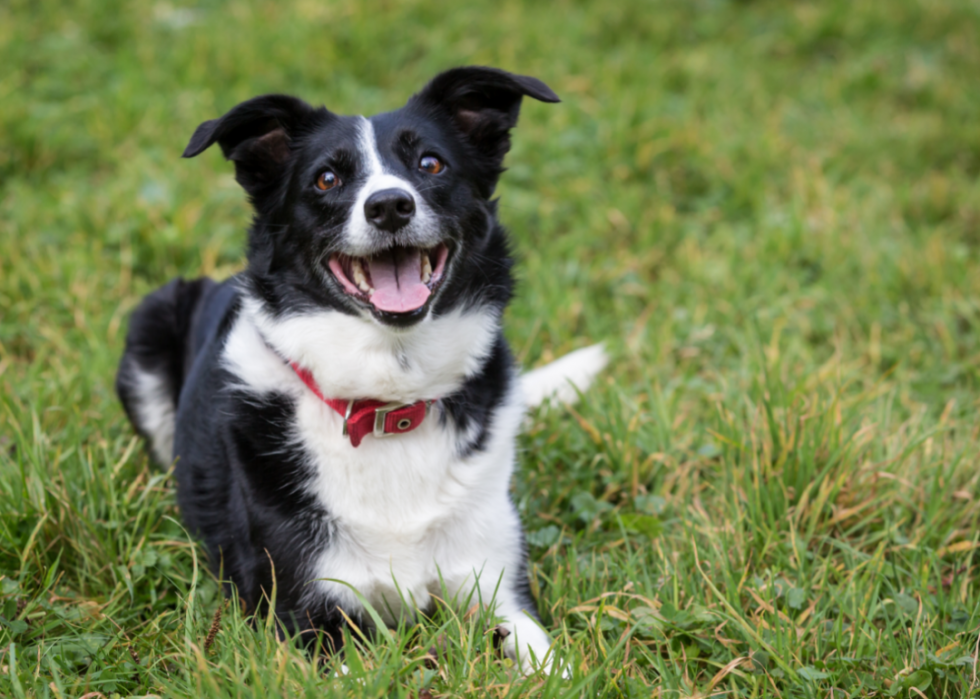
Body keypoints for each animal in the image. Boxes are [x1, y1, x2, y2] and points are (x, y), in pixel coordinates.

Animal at [115, 68, 604, 676]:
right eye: (326, 179)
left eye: (431, 164)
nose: (390, 206)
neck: (388, 403)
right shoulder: (304, 617)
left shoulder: (498, 590)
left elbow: (554, 664)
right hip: (149, 324)